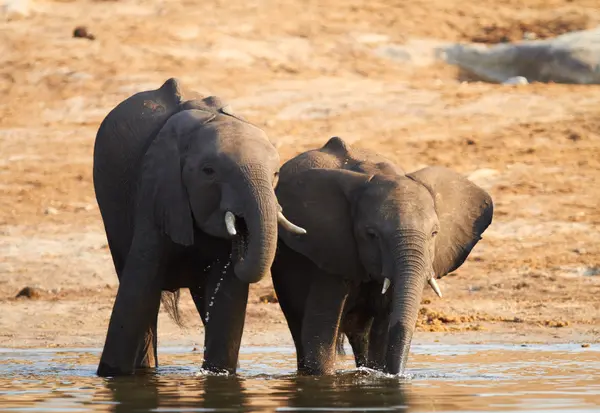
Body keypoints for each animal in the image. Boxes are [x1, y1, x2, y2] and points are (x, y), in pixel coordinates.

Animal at [95, 78, 308, 376]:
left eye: (275, 173)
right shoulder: (155, 191)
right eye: (209, 172)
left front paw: (220, 375)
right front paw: (112, 376)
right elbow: (136, 291)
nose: (242, 231)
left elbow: (228, 296)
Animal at [272, 135, 492, 374]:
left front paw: (379, 373)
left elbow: (383, 328)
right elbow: (320, 332)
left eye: (434, 233)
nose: (397, 374)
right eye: (372, 234)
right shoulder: (331, 249)